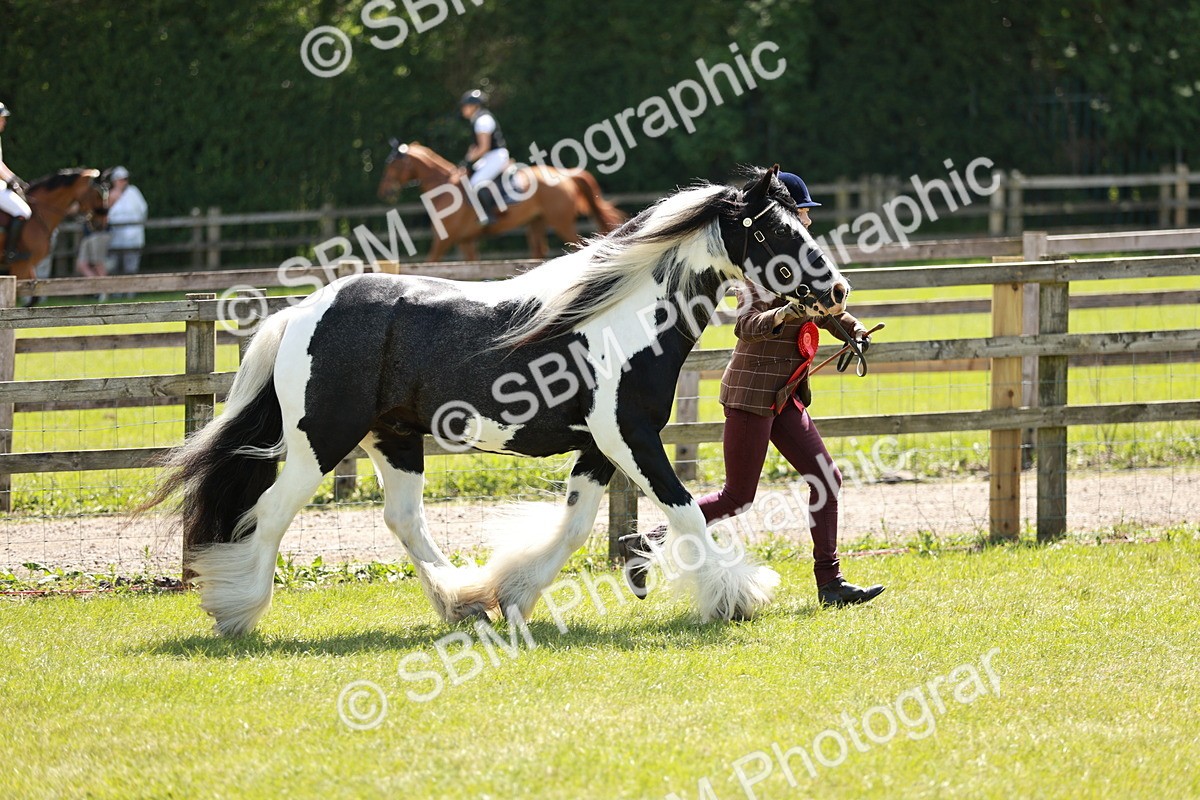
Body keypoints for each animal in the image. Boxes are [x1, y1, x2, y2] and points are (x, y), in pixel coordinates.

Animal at [148, 165, 853, 636]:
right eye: (774, 231)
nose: (837, 289)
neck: (622, 321)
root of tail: (300, 312)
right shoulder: (629, 437)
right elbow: (684, 512)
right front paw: (736, 597)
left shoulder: (600, 446)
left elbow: (574, 528)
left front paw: (515, 596)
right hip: (319, 442)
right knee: (269, 514)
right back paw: (237, 614)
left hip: (393, 439)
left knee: (403, 520)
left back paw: (463, 602)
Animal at [376, 141, 626, 261]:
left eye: (393, 165)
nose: (384, 191)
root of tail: (564, 174)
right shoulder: (465, 242)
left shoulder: (442, 241)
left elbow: (430, 263)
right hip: (536, 223)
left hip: (561, 222)